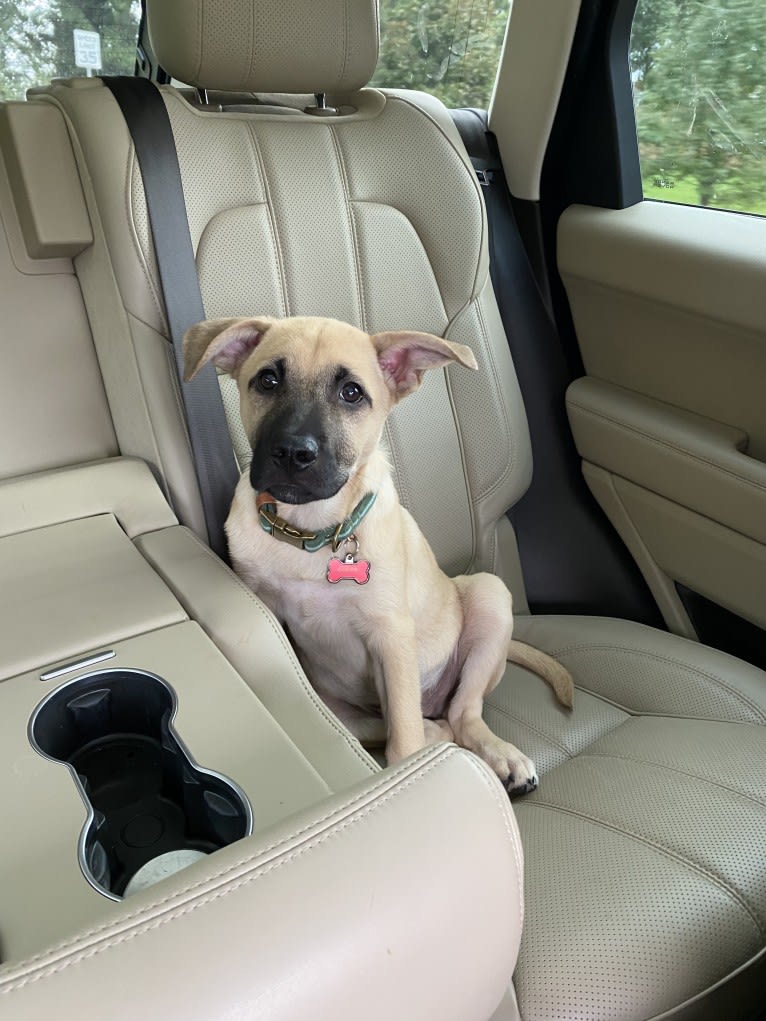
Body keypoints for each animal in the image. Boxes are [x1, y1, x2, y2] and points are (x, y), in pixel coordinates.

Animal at [182, 314, 571, 792]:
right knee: (425, 725)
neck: (311, 531)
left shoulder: (391, 635)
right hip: (347, 711)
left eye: (351, 393)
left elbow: (404, 744)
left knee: (463, 713)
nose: (292, 453)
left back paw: (501, 754)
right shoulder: (267, 607)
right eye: (268, 381)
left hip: (489, 594)